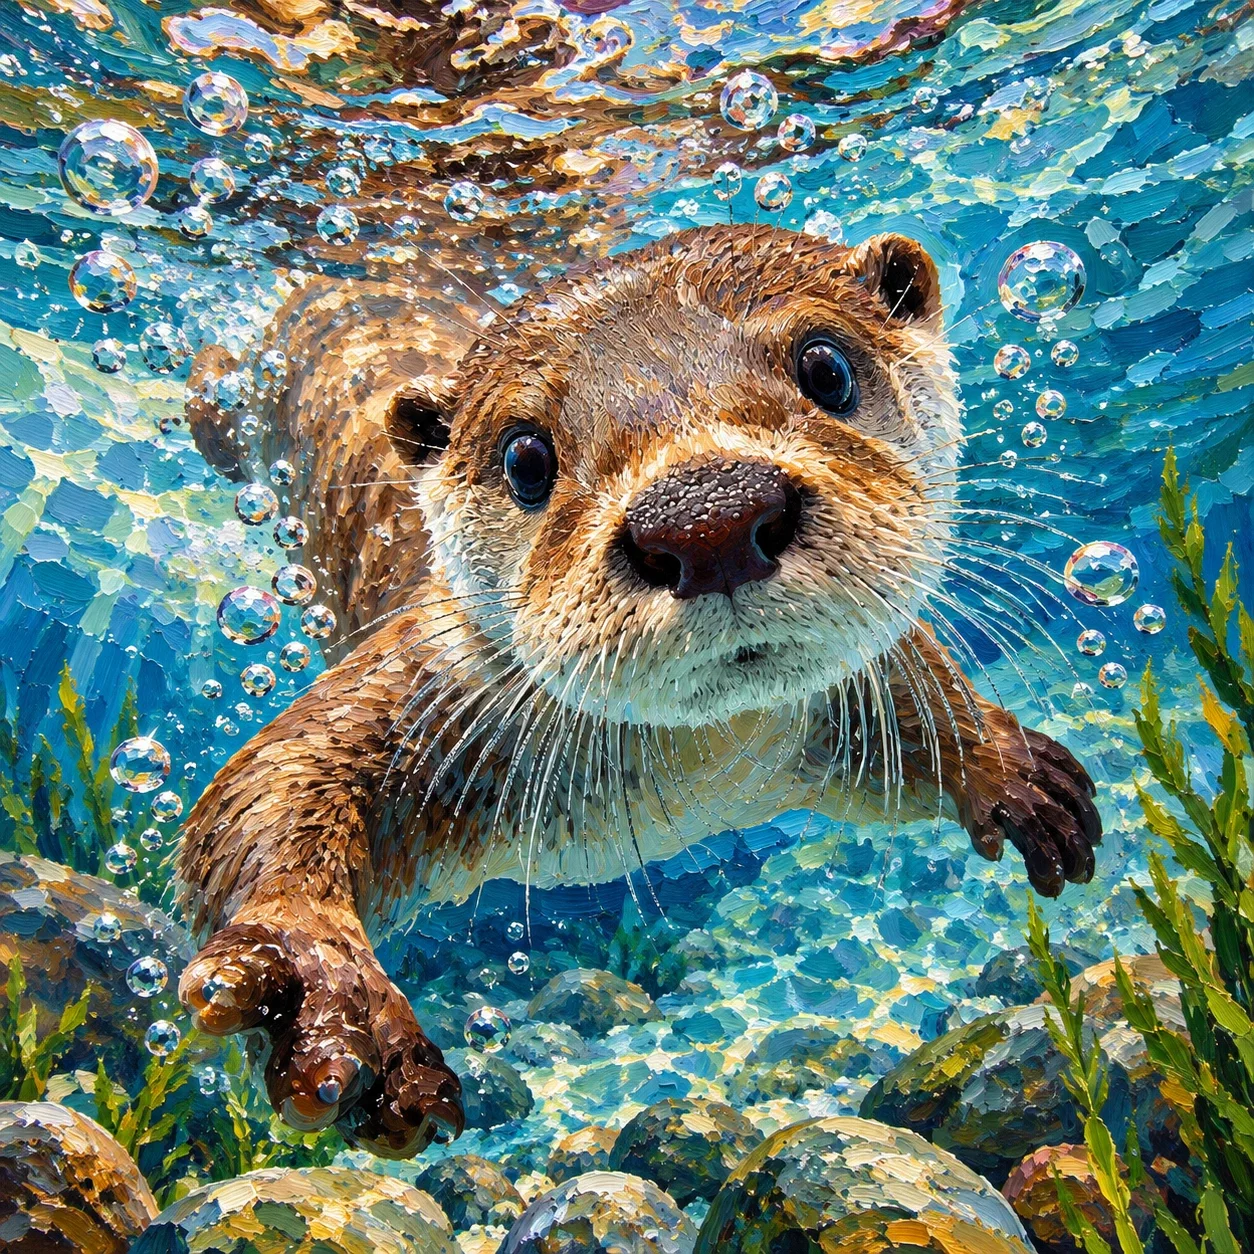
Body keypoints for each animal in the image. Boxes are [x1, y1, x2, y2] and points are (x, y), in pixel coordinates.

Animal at [177, 226, 1101, 1158]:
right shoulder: (431, 677)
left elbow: (919, 725)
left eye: (826, 366)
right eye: (524, 457)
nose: (709, 515)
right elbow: (267, 779)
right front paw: (326, 986)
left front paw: (1009, 771)